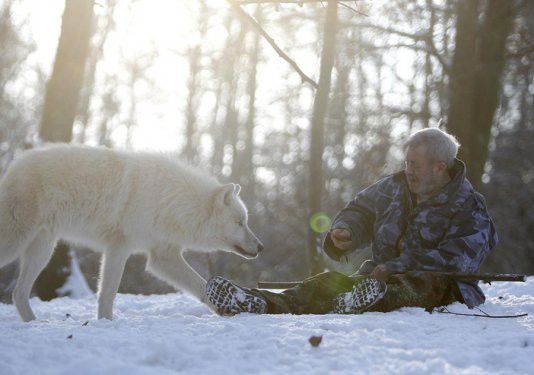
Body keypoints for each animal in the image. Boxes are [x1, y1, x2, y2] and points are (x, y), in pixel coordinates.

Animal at [0, 145, 264, 322]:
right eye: (240, 223)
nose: (261, 247)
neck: (170, 200)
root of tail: (13, 165)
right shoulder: (120, 248)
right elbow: (108, 292)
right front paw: (106, 323)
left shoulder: (162, 257)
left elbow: (200, 286)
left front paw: (225, 307)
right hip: (17, 244)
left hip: (42, 251)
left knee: (18, 293)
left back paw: (34, 323)